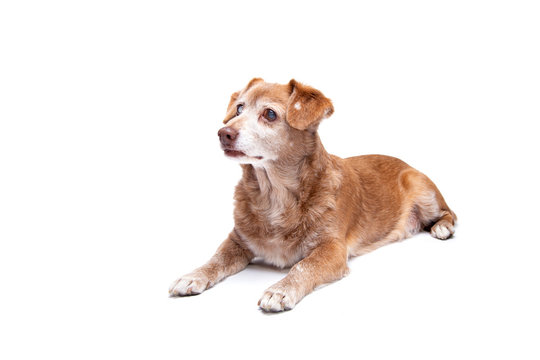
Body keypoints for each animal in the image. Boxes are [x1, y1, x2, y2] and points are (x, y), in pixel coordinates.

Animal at [169, 79, 456, 312]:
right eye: (239, 109)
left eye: (269, 114)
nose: (223, 133)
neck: (274, 195)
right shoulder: (237, 240)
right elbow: (216, 258)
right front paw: (194, 275)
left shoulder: (332, 249)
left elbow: (303, 265)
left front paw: (281, 289)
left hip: (423, 191)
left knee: (449, 213)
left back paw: (442, 228)